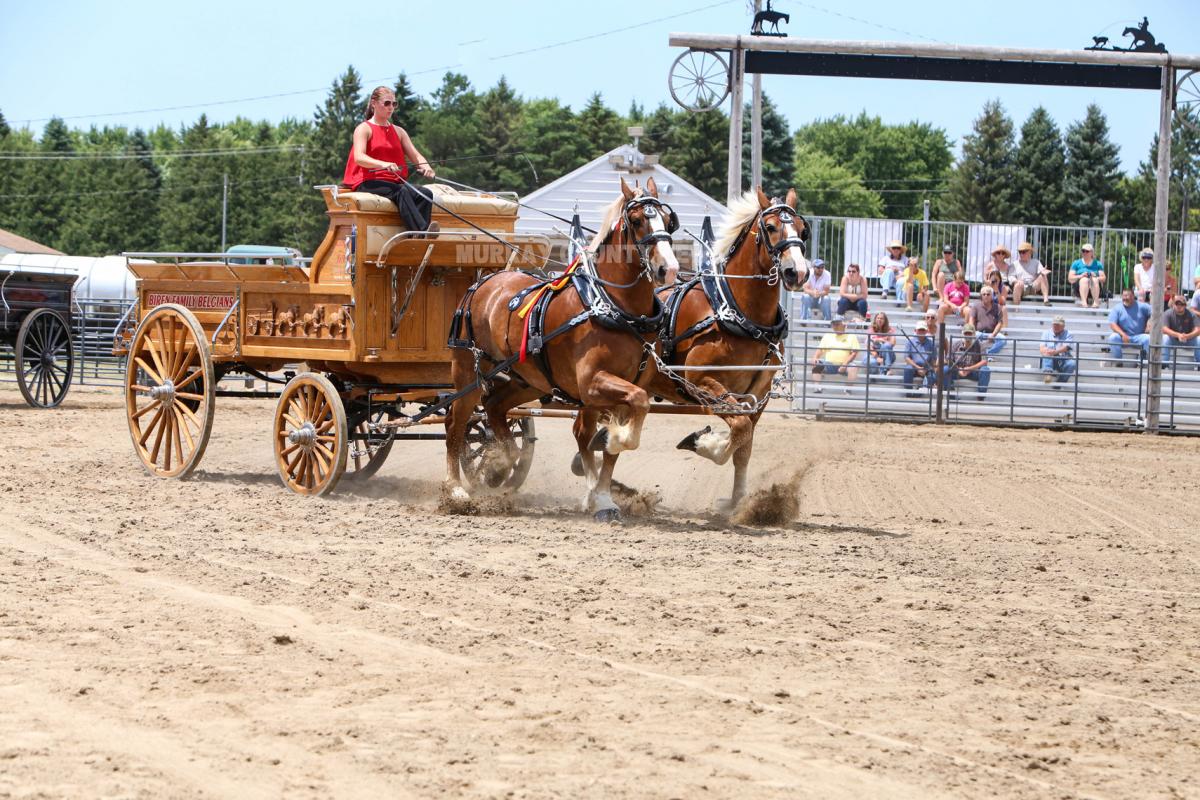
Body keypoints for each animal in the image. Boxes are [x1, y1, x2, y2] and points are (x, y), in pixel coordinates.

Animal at [443, 177, 680, 522]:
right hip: (468, 372)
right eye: (636, 221)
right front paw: (609, 457)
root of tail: (484, 281)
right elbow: (619, 422)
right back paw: (456, 488)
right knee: (456, 421)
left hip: (527, 380)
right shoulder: (592, 383)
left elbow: (605, 435)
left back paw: (501, 461)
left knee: (495, 408)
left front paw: (601, 495)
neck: (614, 307)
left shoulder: (622, 387)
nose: (669, 269)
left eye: (667, 219)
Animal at [579, 187, 810, 511]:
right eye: (771, 226)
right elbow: (739, 428)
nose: (797, 272)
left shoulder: (758, 395)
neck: (739, 313)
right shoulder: (702, 382)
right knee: (582, 430)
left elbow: (744, 444)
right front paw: (703, 444)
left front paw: (738, 503)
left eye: (802, 229)